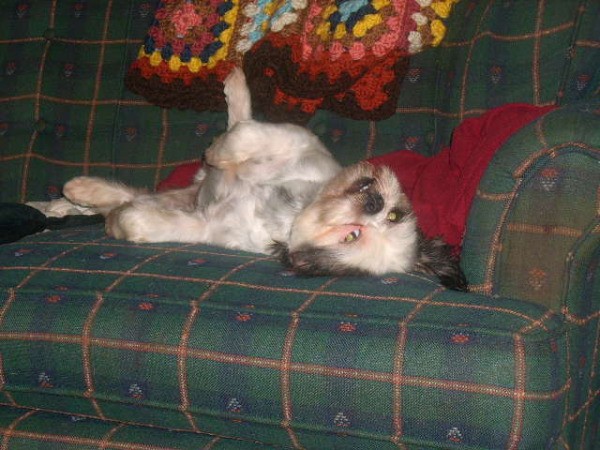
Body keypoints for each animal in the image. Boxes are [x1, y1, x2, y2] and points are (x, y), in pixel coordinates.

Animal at [58, 67, 466, 292]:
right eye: (395, 215)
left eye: (352, 236)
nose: (375, 202)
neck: (292, 206)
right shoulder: (300, 142)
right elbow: (245, 135)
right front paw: (221, 150)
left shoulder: (210, 226)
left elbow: (139, 220)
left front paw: (117, 222)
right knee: (240, 120)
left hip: (185, 199)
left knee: (141, 196)